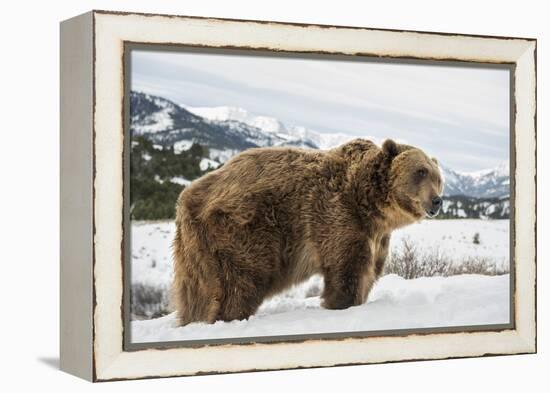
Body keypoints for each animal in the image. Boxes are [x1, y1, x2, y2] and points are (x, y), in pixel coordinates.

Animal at [171, 139, 444, 324]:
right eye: (420, 171)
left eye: (438, 178)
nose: (437, 201)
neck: (370, 204)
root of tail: (186, 197)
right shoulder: (338, 218)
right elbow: (347, 270)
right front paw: (340, 304)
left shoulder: (376, 236)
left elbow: (369, 272)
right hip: (242, 232)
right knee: (240, 284)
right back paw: (231, 316)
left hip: (195, 249)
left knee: (196, 292)